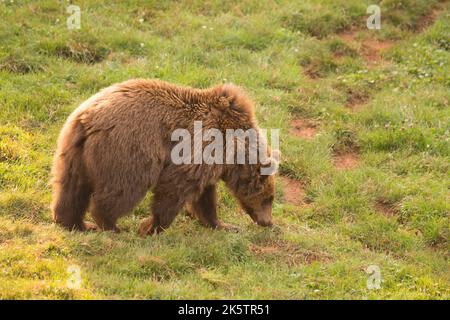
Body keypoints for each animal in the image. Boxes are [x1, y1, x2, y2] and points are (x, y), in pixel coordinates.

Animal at [51, 79, 276, 236]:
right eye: (269, 199)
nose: (268, 222)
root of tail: (87, 118)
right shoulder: (202, 146)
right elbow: (174, 188)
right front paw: (151, 227)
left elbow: (204, 197)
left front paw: (223, 225)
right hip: (129, 150)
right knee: (123, 189)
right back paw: (111, 226)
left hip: (72, 151)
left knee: (71, 187)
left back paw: (75, 223)